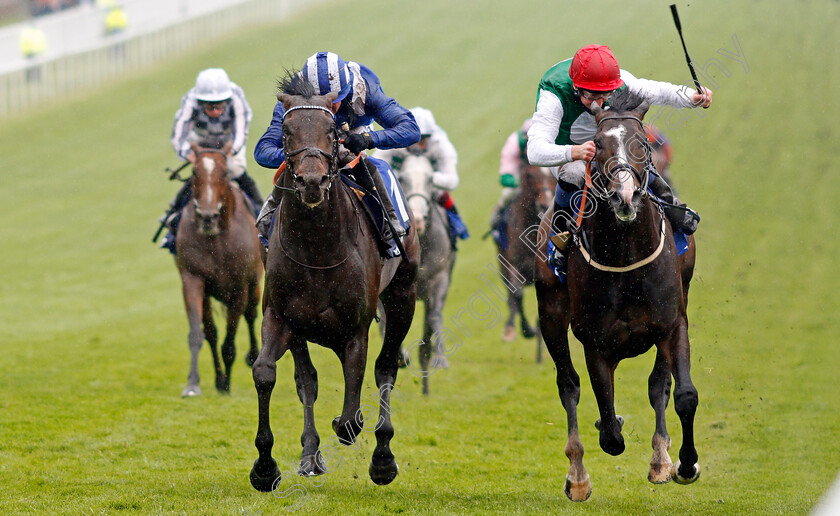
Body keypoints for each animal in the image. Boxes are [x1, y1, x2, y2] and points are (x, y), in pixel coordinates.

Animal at [178, 140, 266, 396]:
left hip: (254, 283)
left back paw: (253, 356)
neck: (215, 238)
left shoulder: (239, 287)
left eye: (225, 173)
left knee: (251, 314)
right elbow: (201, 334)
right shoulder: (192, 280)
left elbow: (229, 342)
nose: (207, 216)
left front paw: (226, 384)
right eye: (194, 172)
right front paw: (195, 384)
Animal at [249, 74, 420, 490]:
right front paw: (265, 467)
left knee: (386, 367)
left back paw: (382, 458)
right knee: (307, 379)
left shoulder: (356, 327)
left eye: (331, 130)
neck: (317, 247)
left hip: (403, 296)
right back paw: (310, 456)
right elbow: (267, 373)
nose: (311, 181)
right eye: (288, 132)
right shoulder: (279, 316)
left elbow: (351, 413)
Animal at [536, 90, 700, 502]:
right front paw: (607, 429)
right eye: (597, 146)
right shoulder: (595, 341)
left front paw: (685, 464)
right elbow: (610, 430)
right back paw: (577, 476)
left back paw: (661, 458)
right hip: (550, 313)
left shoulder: (672, 324)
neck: (626, 257)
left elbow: (682, 394)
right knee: (569, 386)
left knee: (658, 385)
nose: (624, 196)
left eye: (643, 144)